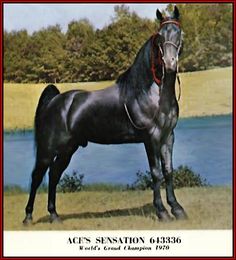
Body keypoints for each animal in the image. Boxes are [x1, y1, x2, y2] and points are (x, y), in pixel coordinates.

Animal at [23, 7, 187, 224]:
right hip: (47, 150)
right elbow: (156, 173)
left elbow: (168, 172)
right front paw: (162, 212)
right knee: (36, 176)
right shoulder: (151, 138)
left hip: (68, 149)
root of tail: (54, 101)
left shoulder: (168, 136)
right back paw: (28, 216)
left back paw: (54, 215)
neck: (149, 92)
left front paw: (177, 209)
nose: (169, 63)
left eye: (179, 33)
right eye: (160, 36)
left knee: (54, 175)